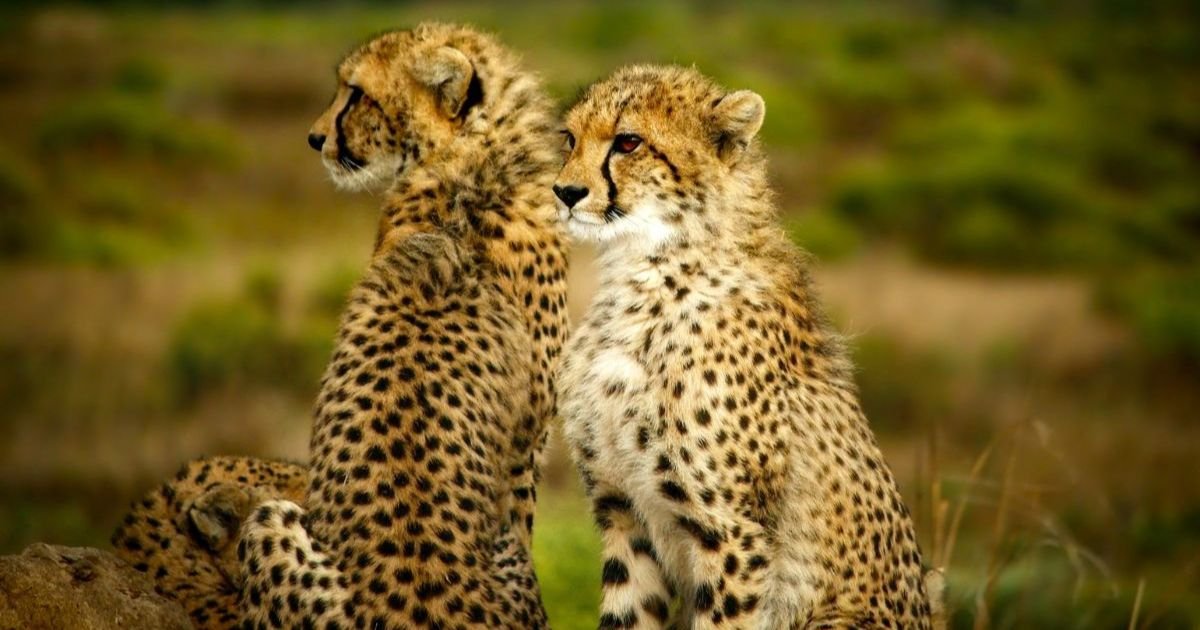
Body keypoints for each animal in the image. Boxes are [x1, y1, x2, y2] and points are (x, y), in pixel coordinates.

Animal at [553, 64, 944, 629]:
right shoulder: (622, 513)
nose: (564, 191)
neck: (643, 268)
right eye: (569, 138)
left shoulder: (732, 532)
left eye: (628, 142)